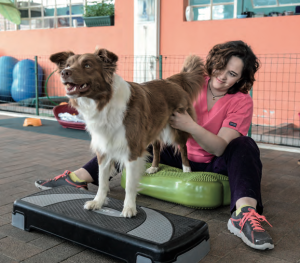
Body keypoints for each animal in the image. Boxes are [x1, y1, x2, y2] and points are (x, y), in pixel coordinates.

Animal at [50, 48, 205, 218]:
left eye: (87, 65)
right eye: (68, 65)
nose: (64, 72)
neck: (104, 102)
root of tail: (171, 81)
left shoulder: (132, 150)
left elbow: (130, 183)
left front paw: (129, 208)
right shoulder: (103, 149)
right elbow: (102, 180)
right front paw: (98, 202)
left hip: (178, 127)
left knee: (183, 148)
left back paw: (186, 169)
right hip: (154, 128)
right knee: (157, 146)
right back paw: (154, 167)